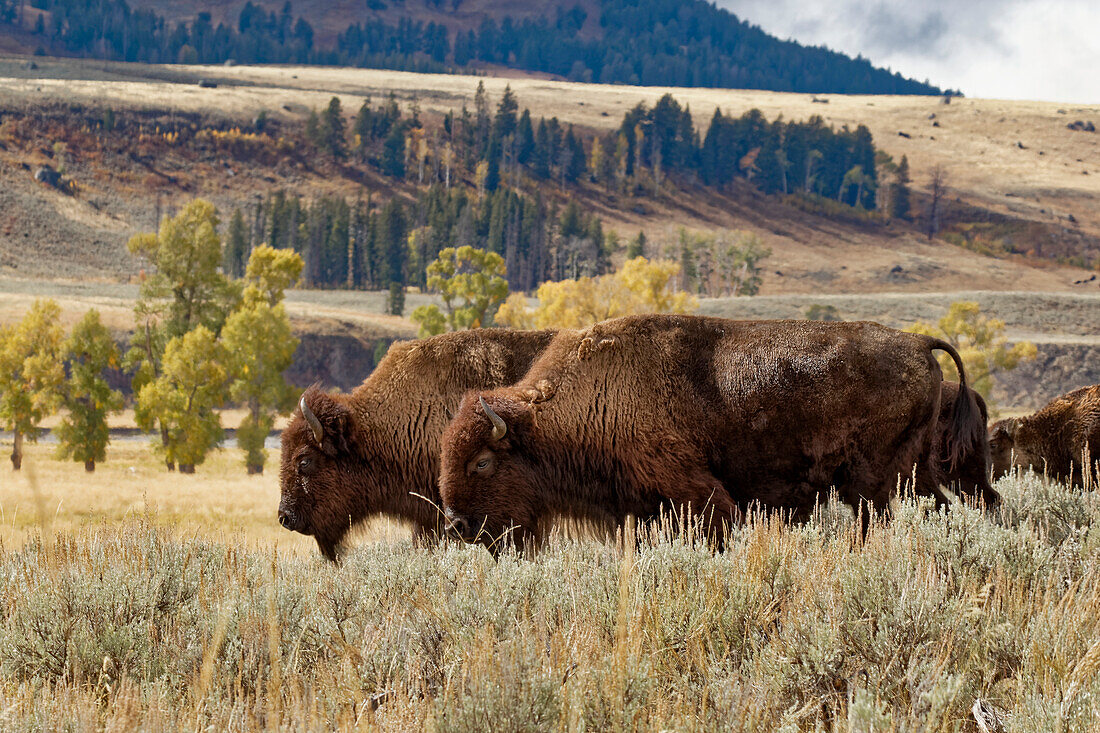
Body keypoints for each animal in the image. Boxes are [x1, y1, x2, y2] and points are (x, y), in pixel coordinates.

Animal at [433, 310, 985, 550]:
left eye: (482, 461)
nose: (457, 524)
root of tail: (918, 342)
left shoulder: (695, 490)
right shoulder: (639, 509)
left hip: (871, 480)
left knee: (878, 519)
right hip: (914, 473)